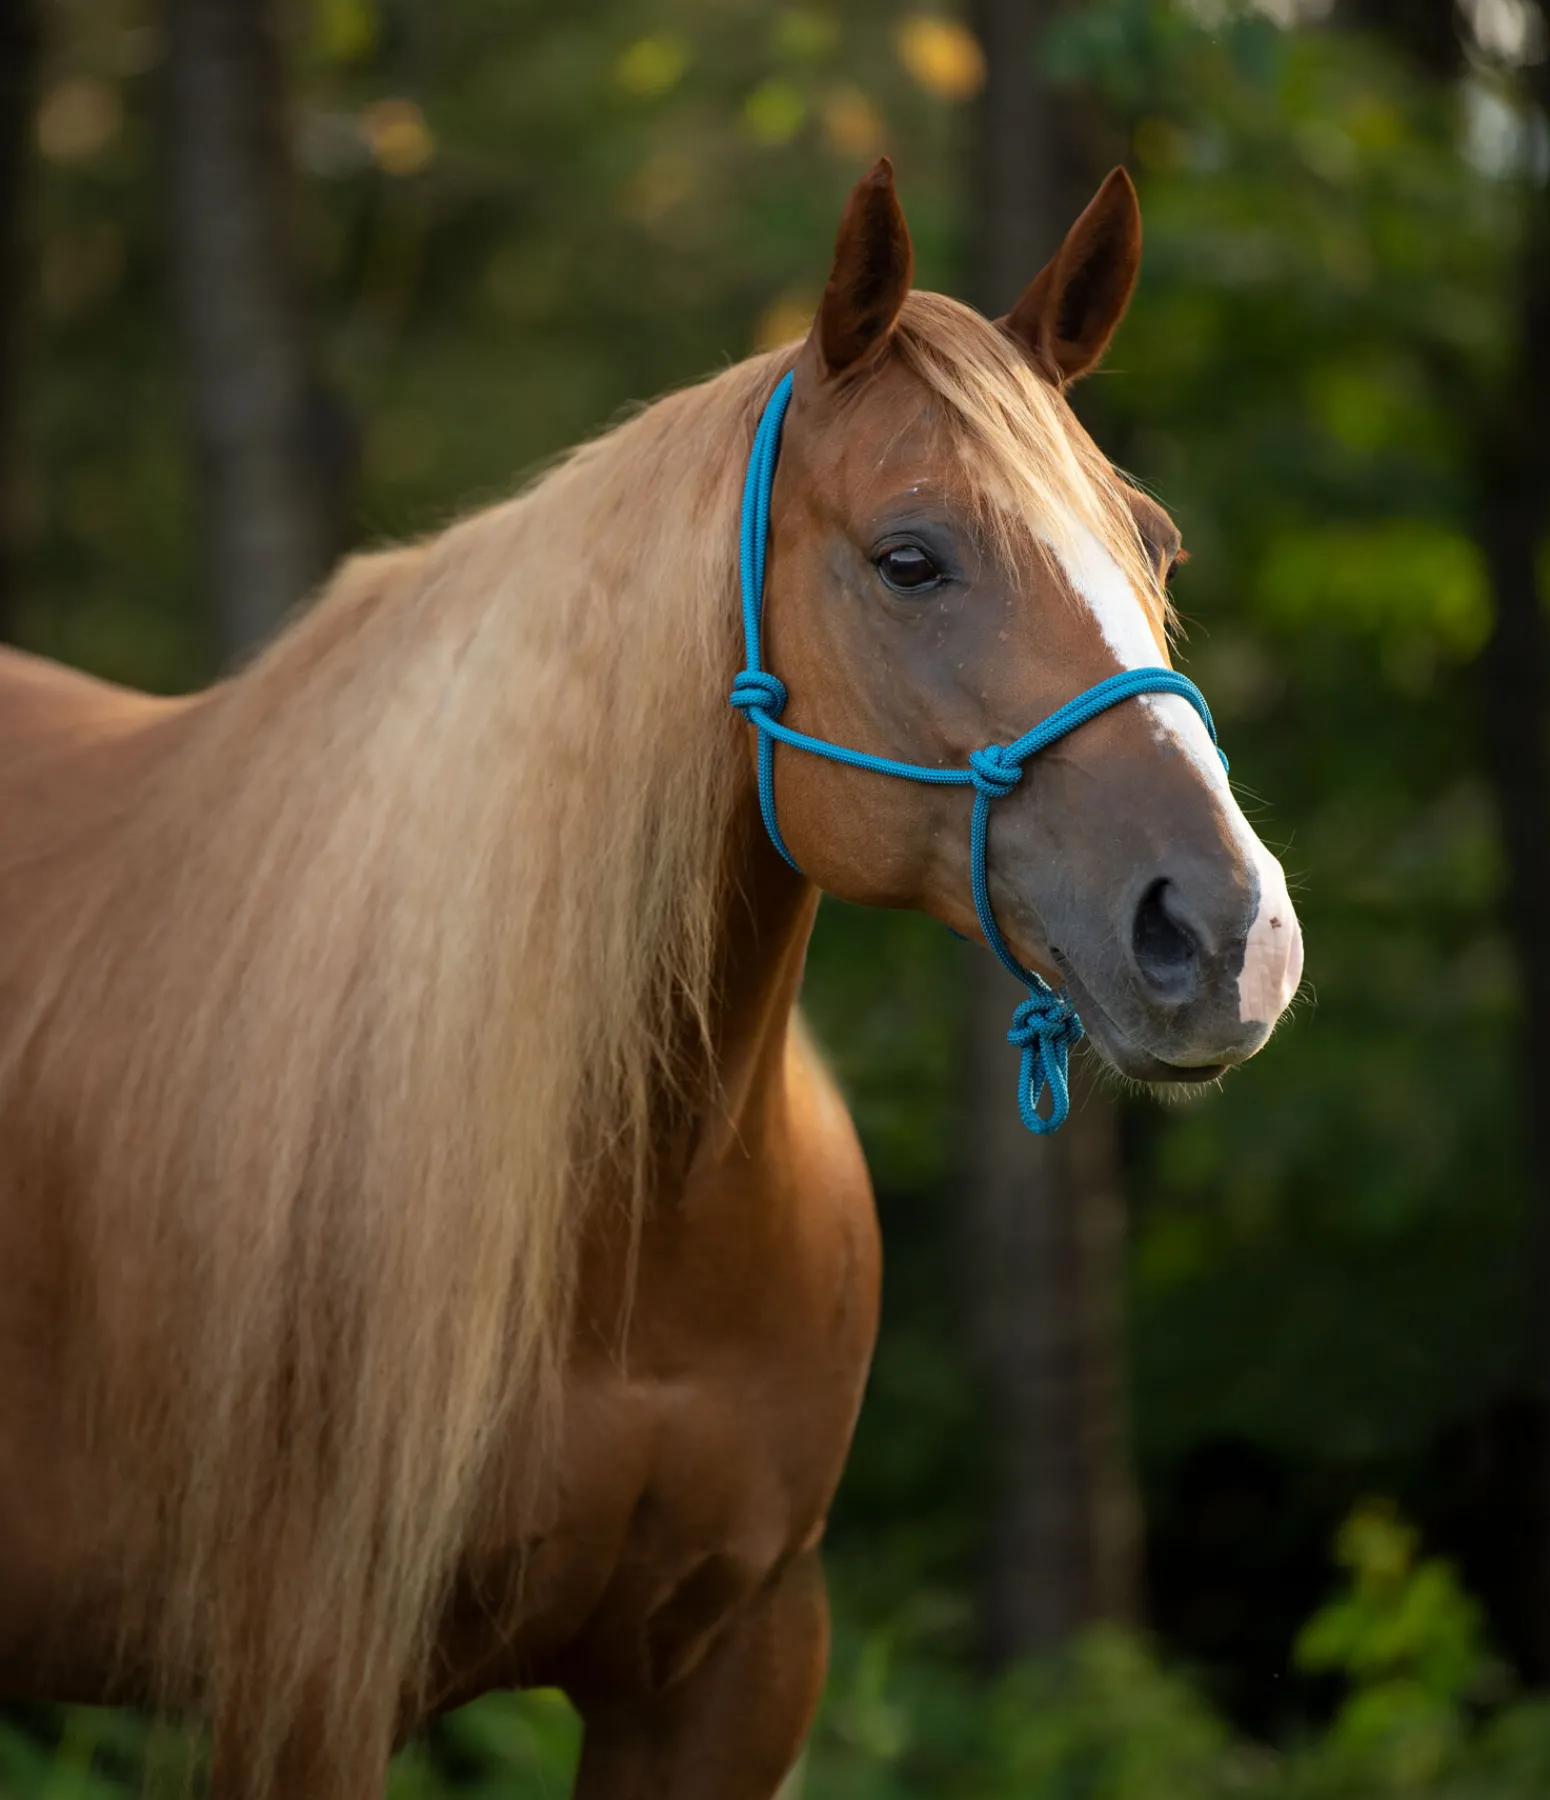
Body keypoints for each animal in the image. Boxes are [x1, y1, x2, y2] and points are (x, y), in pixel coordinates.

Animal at [0, 161, 1302, 1797]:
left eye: (1154, 545)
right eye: (910, 557)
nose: (1228, 931)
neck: (626, 1214)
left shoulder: (731, 1668)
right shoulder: (303, 1687)